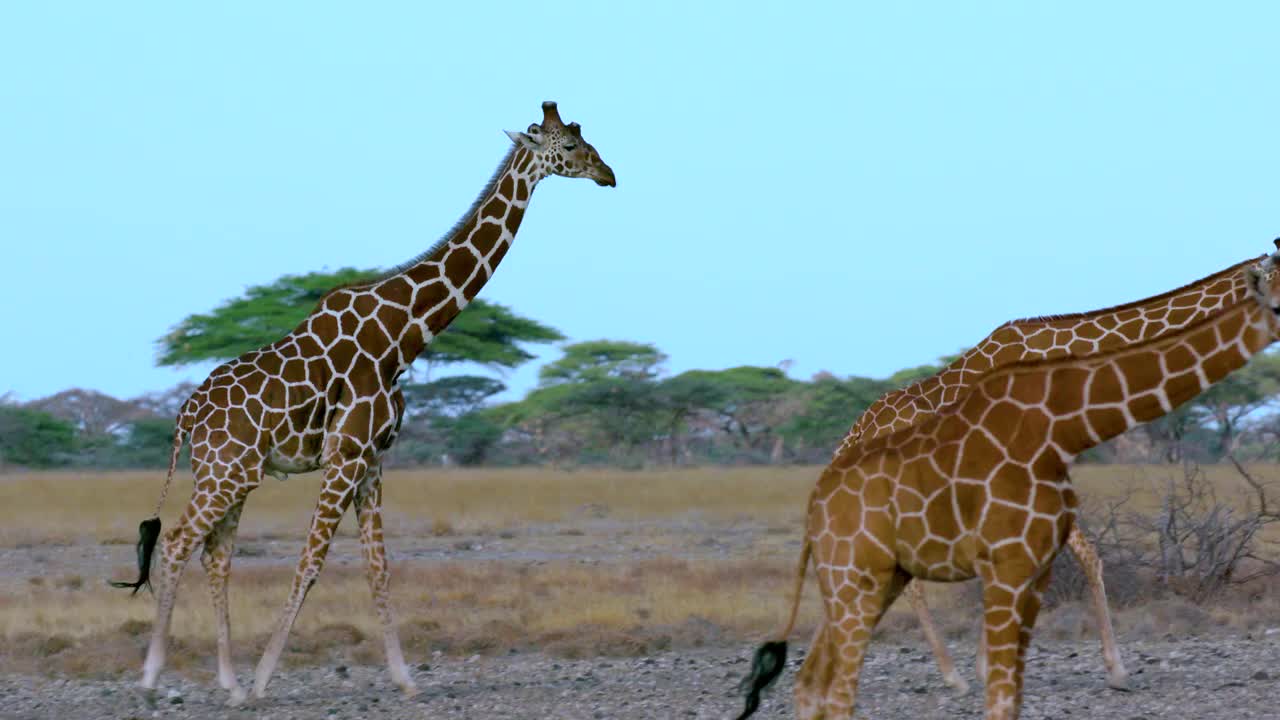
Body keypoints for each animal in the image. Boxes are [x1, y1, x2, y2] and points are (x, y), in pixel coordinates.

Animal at [110, 101, 614, 702]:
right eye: (569, 145)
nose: (609, 174)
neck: (404, 334)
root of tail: (186, 415)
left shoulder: (373, 460)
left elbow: (379, 568)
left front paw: (405, 680)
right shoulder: (345, 456)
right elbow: (310, 564)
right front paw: (264, 681)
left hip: (230, 473)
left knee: (215, 554)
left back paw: (226, 682)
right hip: (224, 472)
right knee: (179, 543)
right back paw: (151, 678)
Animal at [737, 248, 1280, 717]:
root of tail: (843, 442)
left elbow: (1084, 556)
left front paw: (1110, 668)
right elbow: (1079, 557)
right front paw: (1112, 669)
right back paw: (952, 674)